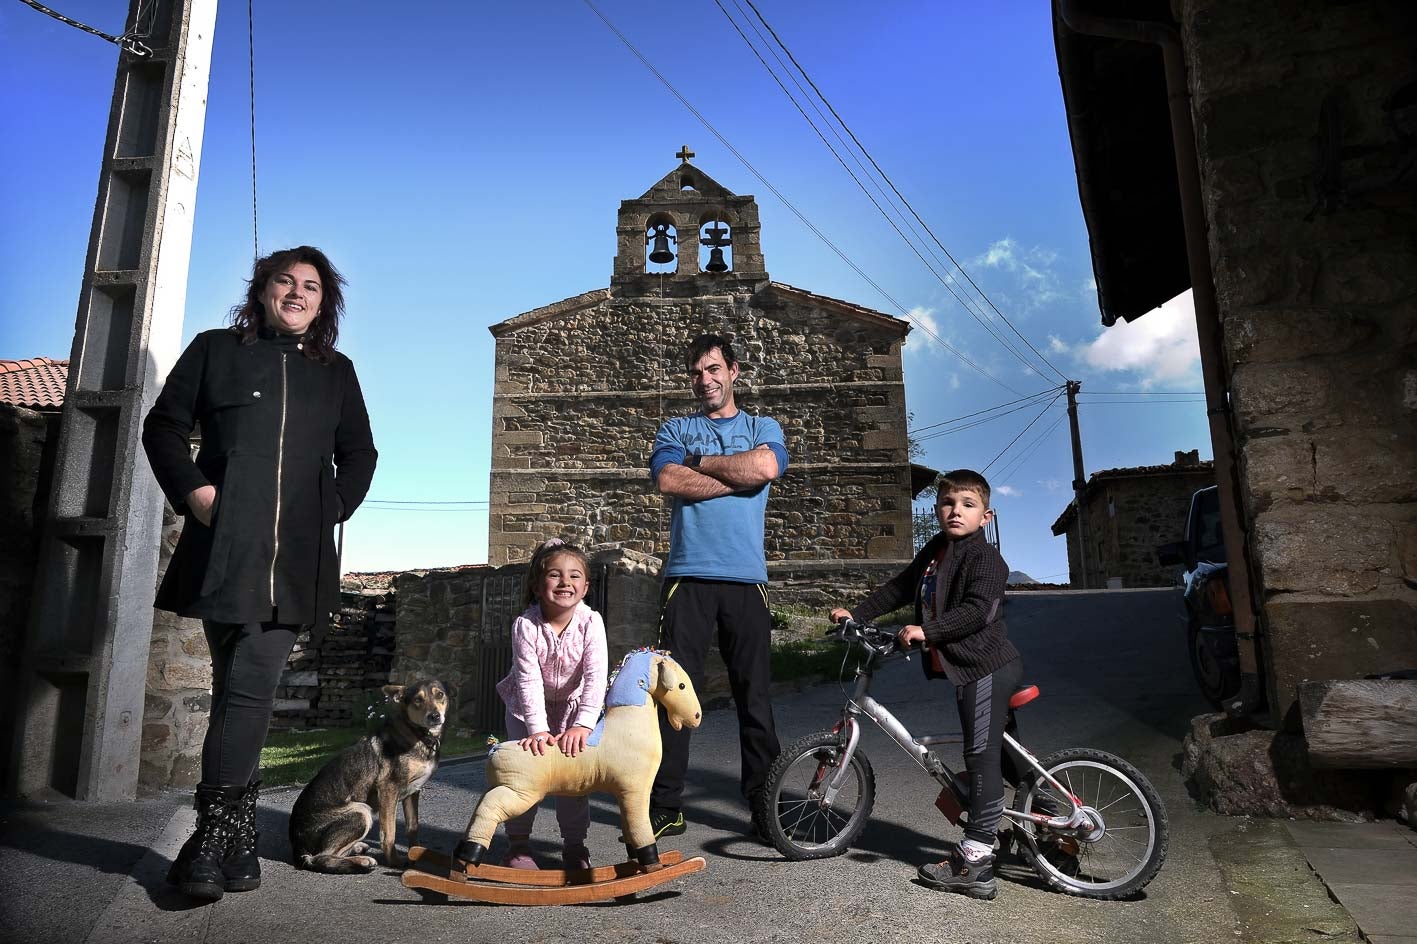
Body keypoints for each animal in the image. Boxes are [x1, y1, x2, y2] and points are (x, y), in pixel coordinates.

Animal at [284, 677, 444, 867]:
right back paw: (362, 861)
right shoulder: (388, 790)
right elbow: (389, 833)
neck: (417, 734)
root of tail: (297, 846)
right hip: (361, 812)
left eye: (440, 694)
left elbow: (412, 828)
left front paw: (416, 853)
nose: (435, 716)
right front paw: (395, 862)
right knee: (322, 857)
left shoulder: (413, 792)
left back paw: (358, 849)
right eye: (417, 700)